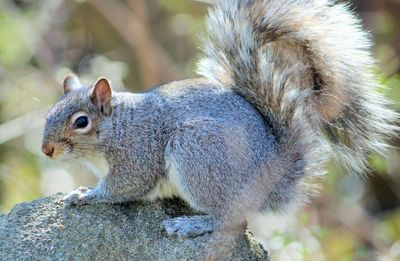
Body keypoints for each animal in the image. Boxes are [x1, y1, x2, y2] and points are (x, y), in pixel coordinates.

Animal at [42, 0, 398, 237]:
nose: (47, 150)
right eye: (49, 113)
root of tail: (274, 177)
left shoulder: (137, 156)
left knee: (230, 217)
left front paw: (86, 195)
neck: (117, 127)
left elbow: (123, 188)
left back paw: (192, 224)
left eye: (81, 122)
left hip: (198, 152)